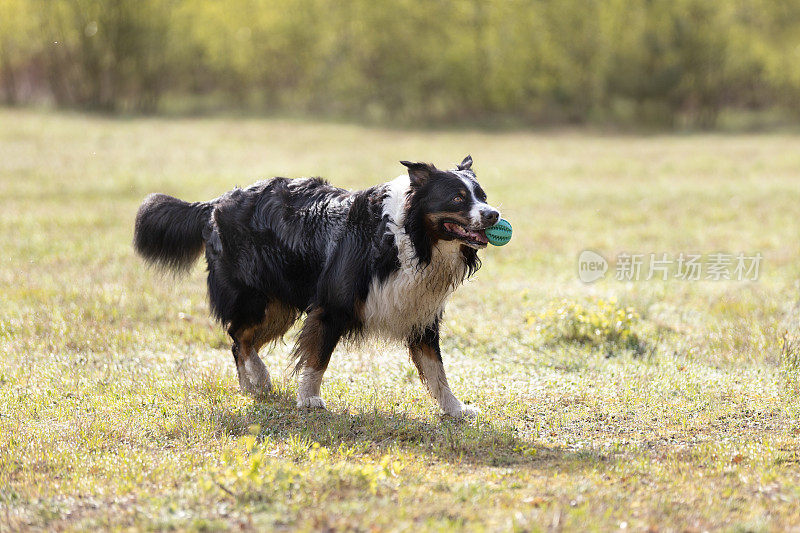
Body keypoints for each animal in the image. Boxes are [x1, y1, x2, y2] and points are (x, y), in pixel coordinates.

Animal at [136, 154, 500, 416]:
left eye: (482, 196)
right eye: (457, 198)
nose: (494, 214)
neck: (407, 238)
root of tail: (215, 203)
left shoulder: (420, 314)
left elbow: (436, 371)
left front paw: (455, 409)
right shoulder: (331, 306)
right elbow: (317, 358)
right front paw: (309, 399)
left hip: (279, 306)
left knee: (243, 338)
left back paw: (255, 382)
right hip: (256, 299)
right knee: (237, 337)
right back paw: (255, 381)